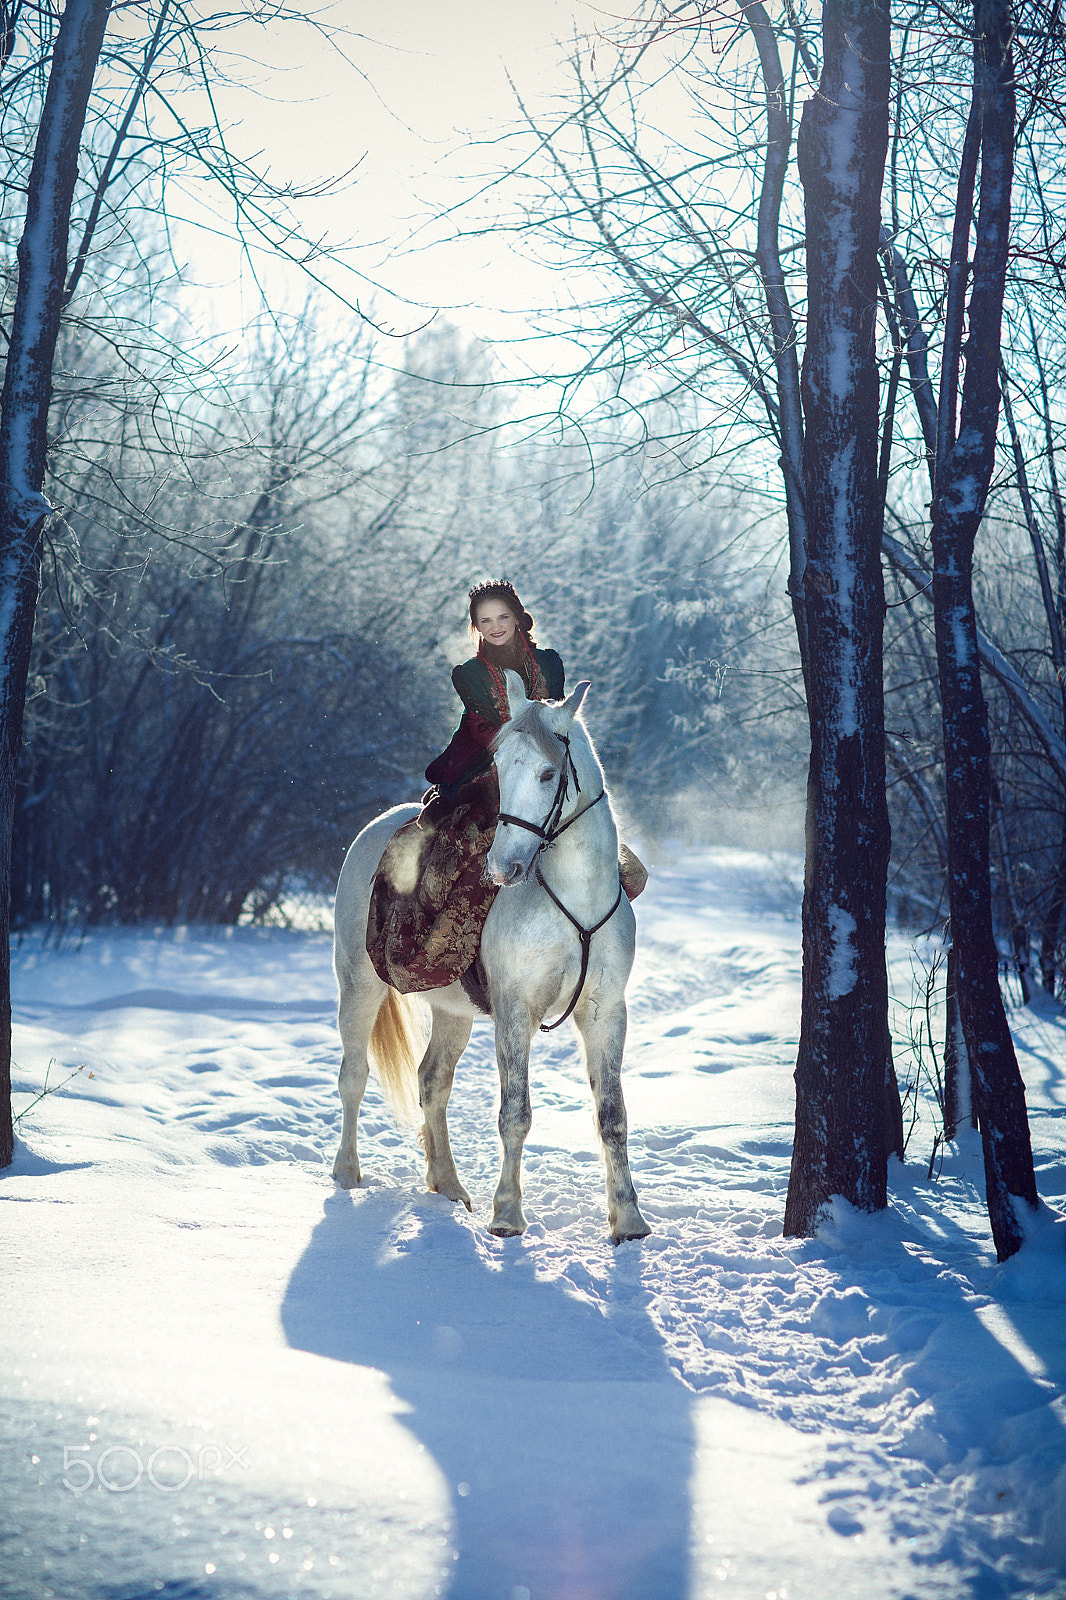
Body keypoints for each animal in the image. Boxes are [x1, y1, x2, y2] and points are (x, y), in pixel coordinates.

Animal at [332, 668, 646, 1241]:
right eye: (499, 767)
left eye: (548, 773)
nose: (503, 867)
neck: (574, 896)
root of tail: (374, 830)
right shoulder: (514, 1010)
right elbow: (515, 1113)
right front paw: (508, 1214)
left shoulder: (606, 1012)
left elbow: (612, 1114)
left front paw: (628, 1219)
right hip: (359, 986)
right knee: (354, 1076)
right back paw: (347, 1173)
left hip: (452, 1013)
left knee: (432, 1082)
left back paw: (448, 1186)